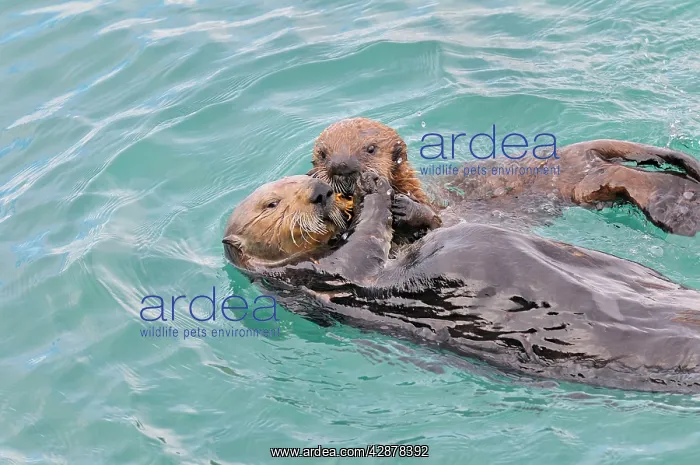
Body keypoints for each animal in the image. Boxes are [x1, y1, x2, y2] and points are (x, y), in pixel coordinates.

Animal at [223, 173, 700, 394]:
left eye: (308, 179)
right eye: (271, 203)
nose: (321, 192)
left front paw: (403, 204)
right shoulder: (321, 273)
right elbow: (364, 250)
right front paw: (373, 189)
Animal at [308, 117, 700, 237]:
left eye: (370, 149)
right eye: (323, 154)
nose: (341, 166)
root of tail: (574, 150)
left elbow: (442, 219)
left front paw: (407, 209)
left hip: (581, 181)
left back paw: (681, 206)